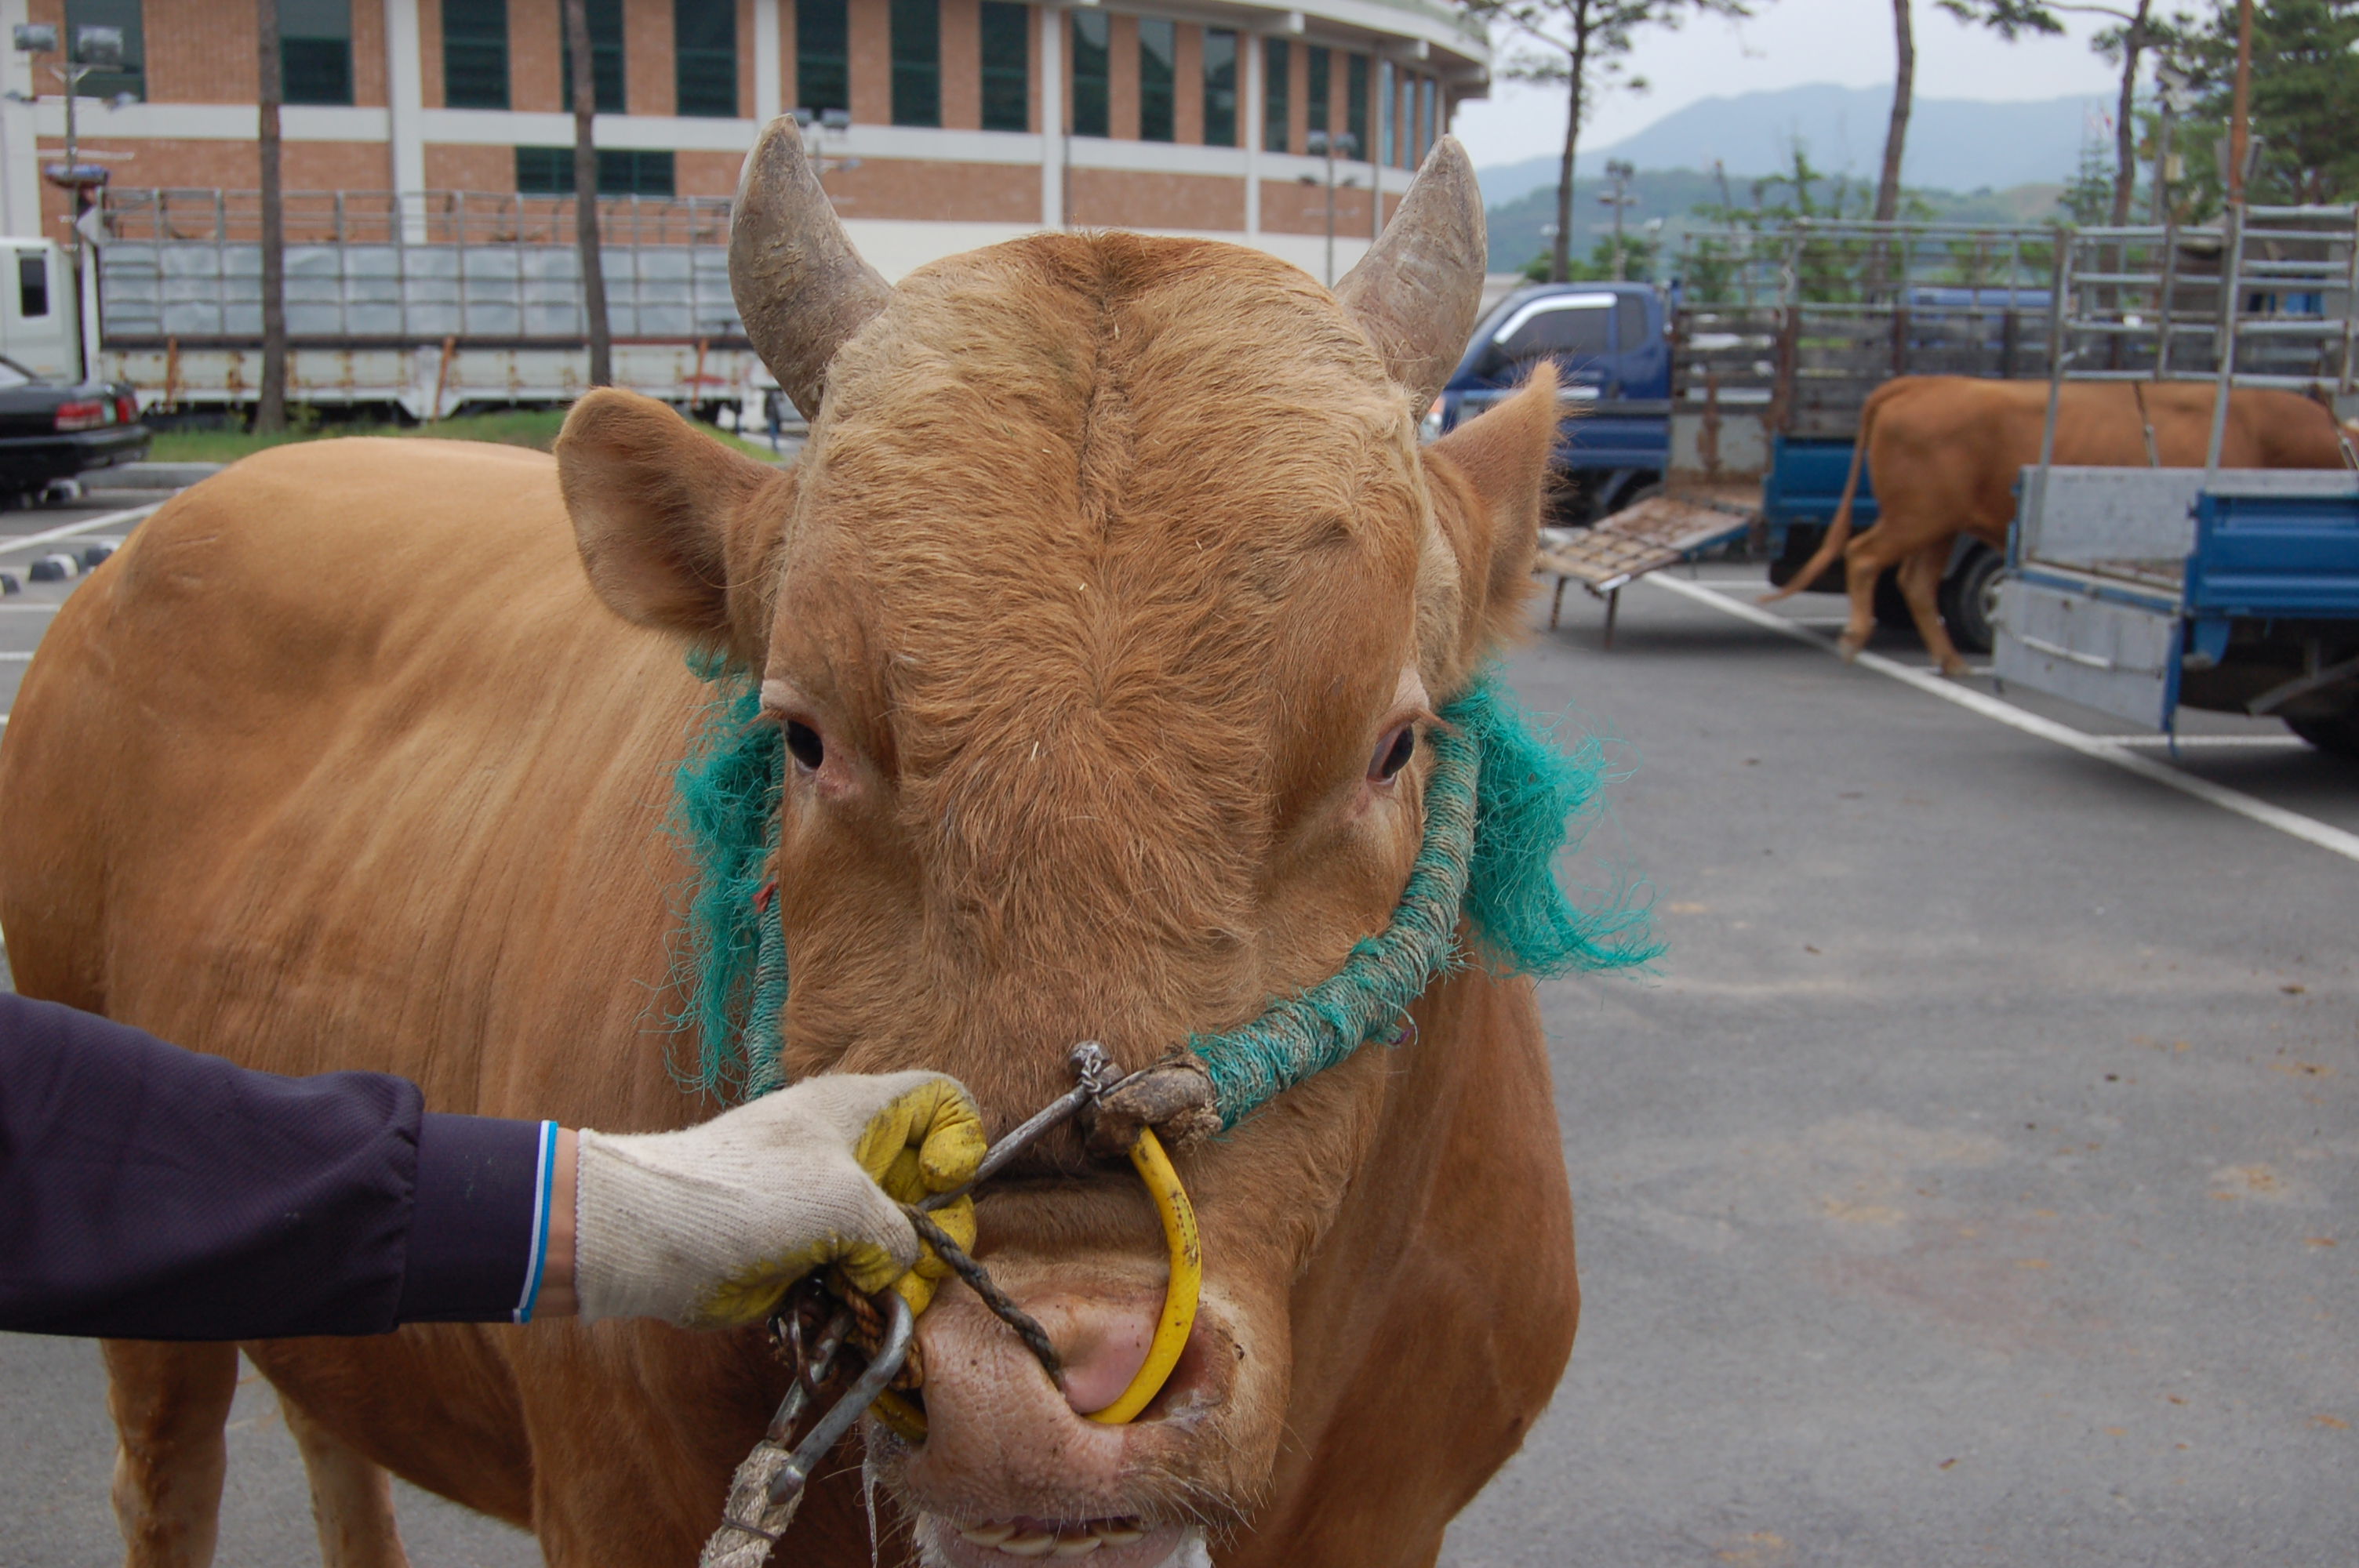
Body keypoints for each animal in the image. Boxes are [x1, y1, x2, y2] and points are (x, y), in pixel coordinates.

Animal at [0, 125, 1585, 1565]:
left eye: (1393, 745)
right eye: (805, 736)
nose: (1054, 1382)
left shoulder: (1387, 1510)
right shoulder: (615, 1505)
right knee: (167, 1474)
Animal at [1764, 379, 2349, 679]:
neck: (2260, 429)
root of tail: (1921, 383)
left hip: (1939, 525)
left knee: (1914, 582)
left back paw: (1951, 661)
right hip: (1919, 516)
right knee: (1865, 556)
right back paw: (1855, 639)